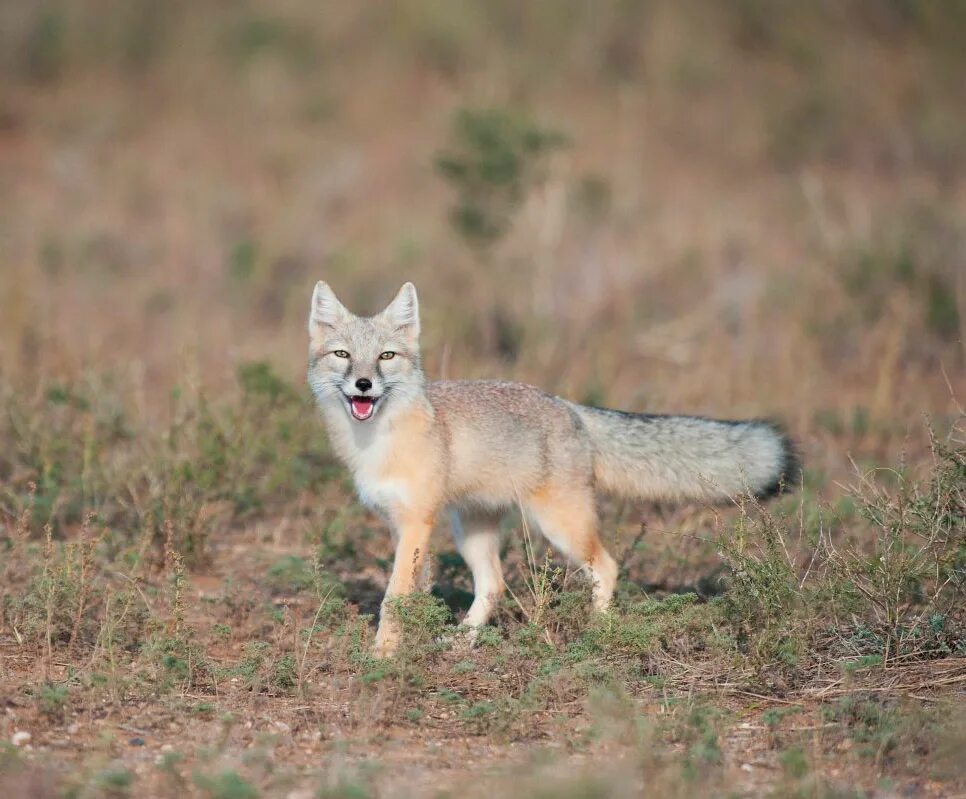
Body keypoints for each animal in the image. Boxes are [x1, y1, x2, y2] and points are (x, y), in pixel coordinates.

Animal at [310, 282, 800, 656]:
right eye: (343, 355)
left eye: (386, 357)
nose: (363, 385)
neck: (377, 443)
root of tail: (570, 406)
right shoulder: (402, 525)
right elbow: (413, 593)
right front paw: (408, 640)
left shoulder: (416, 522)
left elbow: (394, 597)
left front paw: (384, 653)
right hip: (471, 531)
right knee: (494, 585)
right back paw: (464, 640)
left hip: (560, 526)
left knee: (607, 567)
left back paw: (597, 632)